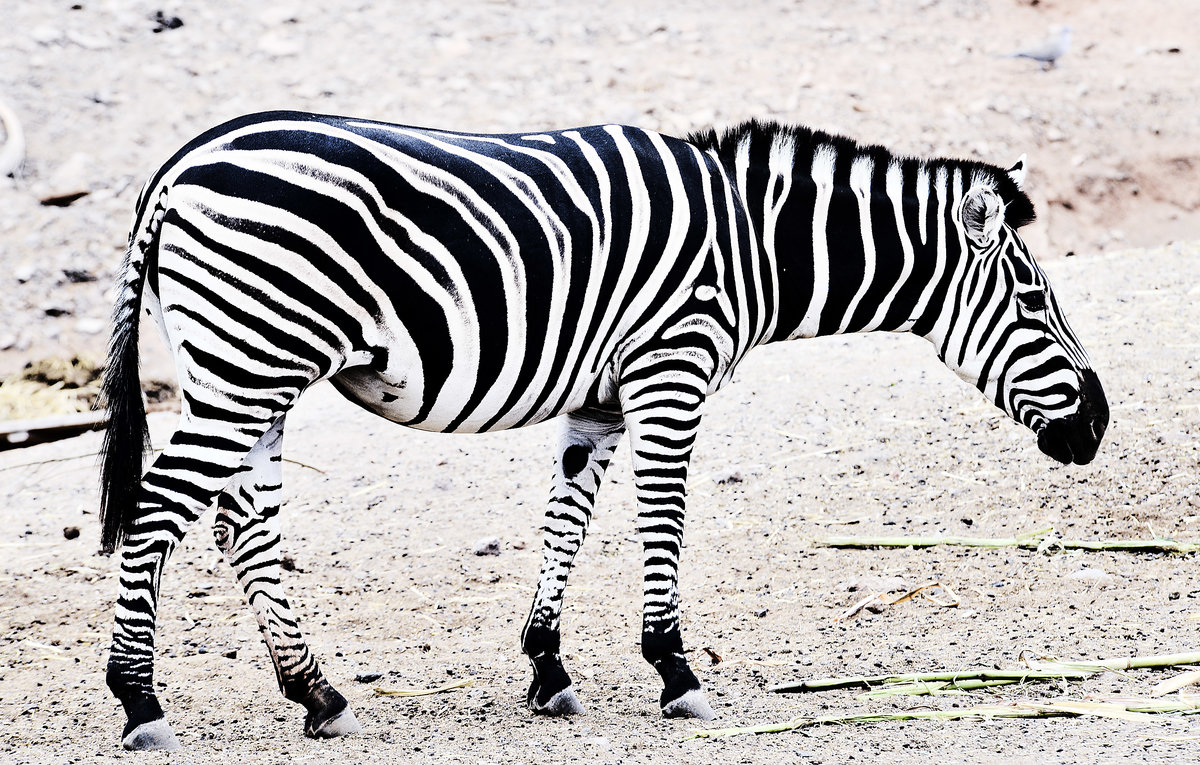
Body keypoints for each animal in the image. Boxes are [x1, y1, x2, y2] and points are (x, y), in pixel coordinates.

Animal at [98, 113, 1108, 757]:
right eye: (1034, 299)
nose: (1098, 425)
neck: (752, 242)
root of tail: (179, 162)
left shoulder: (601, 400)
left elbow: (568, 517)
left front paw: (547, 668)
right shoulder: (673, 370)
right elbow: (662, 516)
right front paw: (675, 669)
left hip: (249, 372)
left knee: (241, 522)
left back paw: (317, 692)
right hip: (252, 359)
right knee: (158, 511)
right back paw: (141, 698)